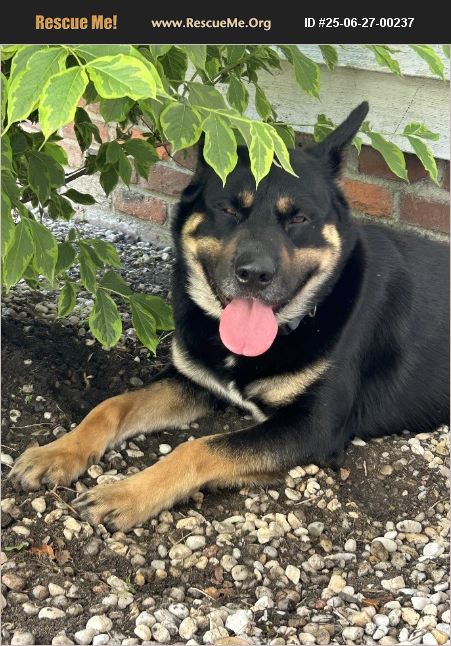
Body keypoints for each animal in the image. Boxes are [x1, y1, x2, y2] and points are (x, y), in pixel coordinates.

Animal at [10, 102, 450, 532]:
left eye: (299, 218)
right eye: (228, 210)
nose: (254, 274)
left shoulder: (311, 427)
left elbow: (197, 447)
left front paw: (126, 493)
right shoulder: (195, 381)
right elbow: (111, 405)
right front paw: (57, 451)